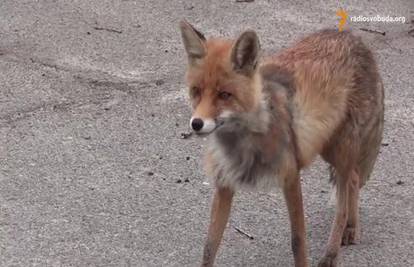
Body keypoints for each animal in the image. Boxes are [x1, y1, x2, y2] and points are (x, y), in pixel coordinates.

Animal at [180, 20, 384, 267]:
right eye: (196, 91)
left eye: (224, 95)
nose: (196, 124)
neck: (244, 143)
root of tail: (351, 35)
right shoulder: (224, 185)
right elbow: (209, 246)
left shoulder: (291, 177)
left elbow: (298, 241)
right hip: (327, 146)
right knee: (353, 179)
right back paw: (351, 228)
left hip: (339, 149)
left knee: (342, 206)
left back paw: (331, 253)